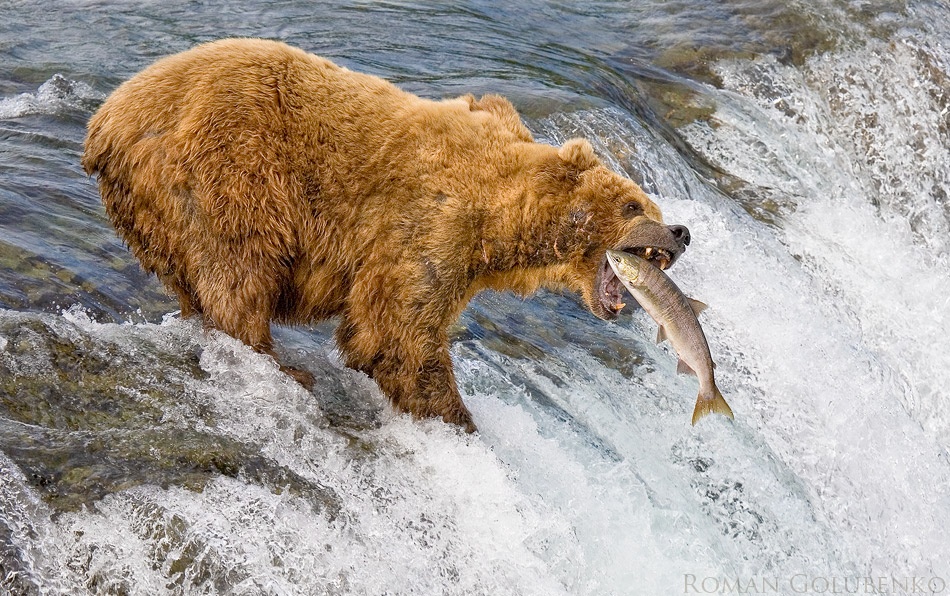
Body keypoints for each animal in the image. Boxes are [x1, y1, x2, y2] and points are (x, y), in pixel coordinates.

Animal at [82, 40, 692, 434]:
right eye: (634, 203)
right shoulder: (426, 224)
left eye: (651, 202)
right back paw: (278, 363)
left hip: (154, 210)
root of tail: (106, 122)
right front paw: (456, 417)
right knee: (237, 269)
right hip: (226, 169)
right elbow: (396, 331)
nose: (681, 231)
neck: (498, 220)